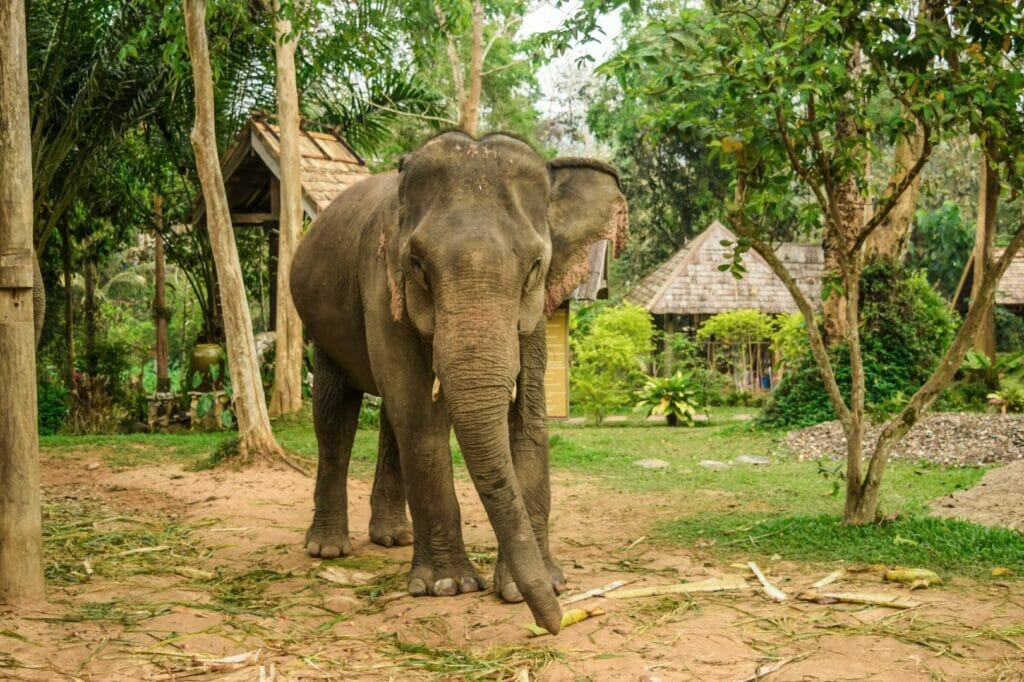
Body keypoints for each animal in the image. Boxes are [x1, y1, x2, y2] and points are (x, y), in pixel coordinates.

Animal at [288, 129, 622, 630]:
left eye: (535, 267)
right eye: (418, 265)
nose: (556, 622)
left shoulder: (537, 312)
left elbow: (529, 417)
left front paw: (532, 584)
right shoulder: (381, 283)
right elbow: (422, 419)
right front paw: (448, 586)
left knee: (390, 418)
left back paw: (394, 537)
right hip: (323, 326)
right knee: (335, 415)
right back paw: (327, 548)